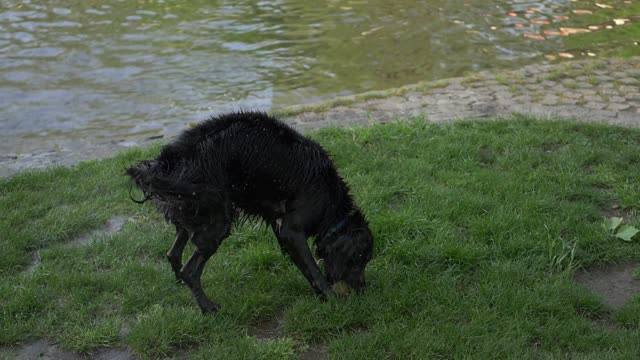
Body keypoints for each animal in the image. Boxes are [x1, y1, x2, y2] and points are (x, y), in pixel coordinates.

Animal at [127, 111, 372, 314]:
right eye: (358, 258)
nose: (363, 289)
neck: (331, 202)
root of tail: (167, 162)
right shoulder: (292, 231)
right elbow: (314, 270)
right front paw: (331, 297)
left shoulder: (281, 229)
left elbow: (306, 268)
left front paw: (321, 294)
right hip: (217, 220)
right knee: (191, 270)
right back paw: (207, 307)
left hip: (191, 213)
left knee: (173, 253)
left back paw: (180, 282)